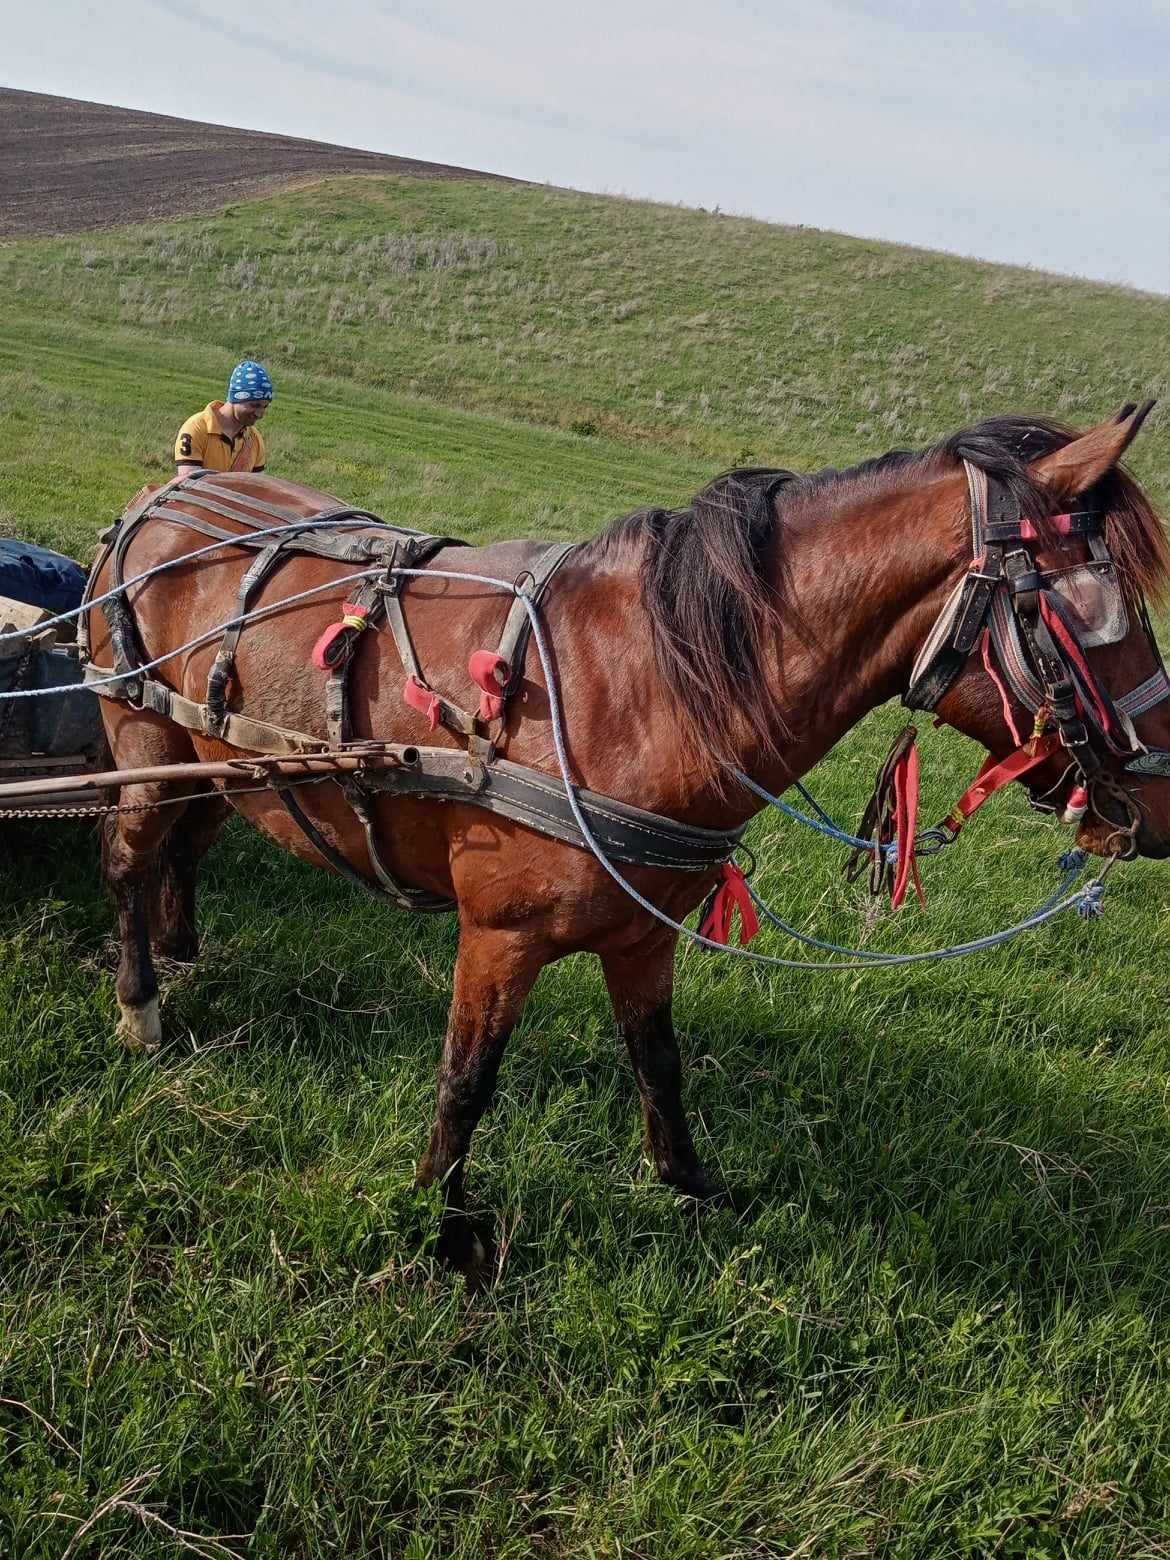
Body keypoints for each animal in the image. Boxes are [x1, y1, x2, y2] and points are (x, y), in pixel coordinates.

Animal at [89, 405, 1170, 1266]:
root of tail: (162, 497)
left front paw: (692, 1189)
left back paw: (183, 952)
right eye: (1090, 611)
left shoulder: (647, 933)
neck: (642, 684)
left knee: (185, 850)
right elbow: (467, 1080)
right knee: (131, 860)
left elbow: (659, 1062)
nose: (1158, 805)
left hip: (219, 761)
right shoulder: (501, 936)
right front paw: (438, 1219)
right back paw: (142, 1003)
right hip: (142, 737)